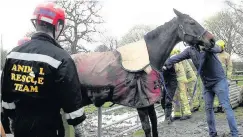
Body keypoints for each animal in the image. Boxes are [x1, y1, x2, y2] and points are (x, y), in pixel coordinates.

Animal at [70, 9, 215, 136]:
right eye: (191, 22)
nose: (212, 40)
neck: (149, 58)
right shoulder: (141, 105)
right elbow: (147, 128)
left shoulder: (150, 103)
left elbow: (155, 125)